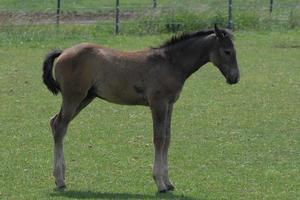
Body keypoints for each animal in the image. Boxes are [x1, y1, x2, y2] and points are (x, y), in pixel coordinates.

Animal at [42, 25, 239, 192]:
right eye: (227, 51)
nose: (235, 78)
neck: (170, 63)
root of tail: (63, 52)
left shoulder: (169, 105)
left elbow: (167, 139)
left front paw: (168, 182)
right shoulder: (158, 104)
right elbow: (159, 139)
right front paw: (160, 183)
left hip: (85, 98)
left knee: (55, 122)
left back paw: (60, 178)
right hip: (73, 97)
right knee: (60, 126)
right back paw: (60, 180)